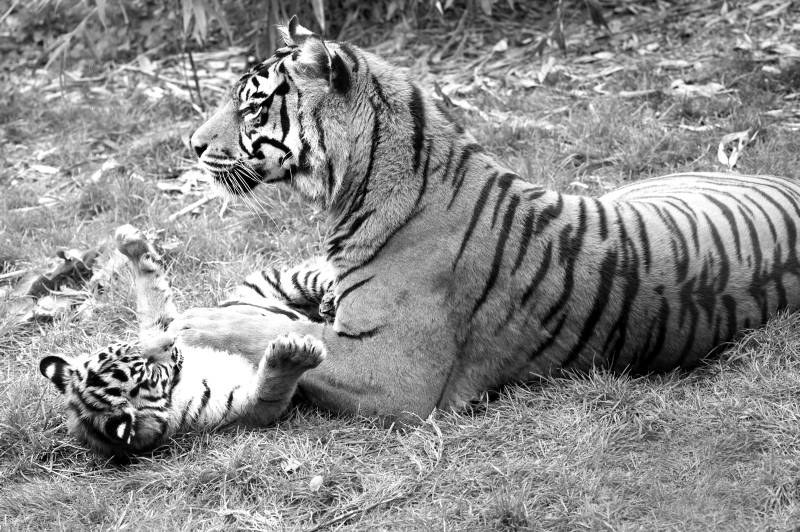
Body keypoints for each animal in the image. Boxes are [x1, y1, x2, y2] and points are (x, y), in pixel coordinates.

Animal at [39, 225, 332, 456]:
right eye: (146, 369)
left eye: (132, 347)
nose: (172, 344)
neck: (178, 384)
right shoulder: (246, 407)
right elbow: (272, 386)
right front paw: (292, 355)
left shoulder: (166, 323)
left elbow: (152, 295)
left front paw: (132, 244)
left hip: (279, 284)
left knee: (321, 276)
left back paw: (329, 300)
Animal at [193, 16, 800, 422]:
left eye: (251, 106)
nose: (192, 145)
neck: (358, 186)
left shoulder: (392, 373)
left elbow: (273, 327)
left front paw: (195, 323)